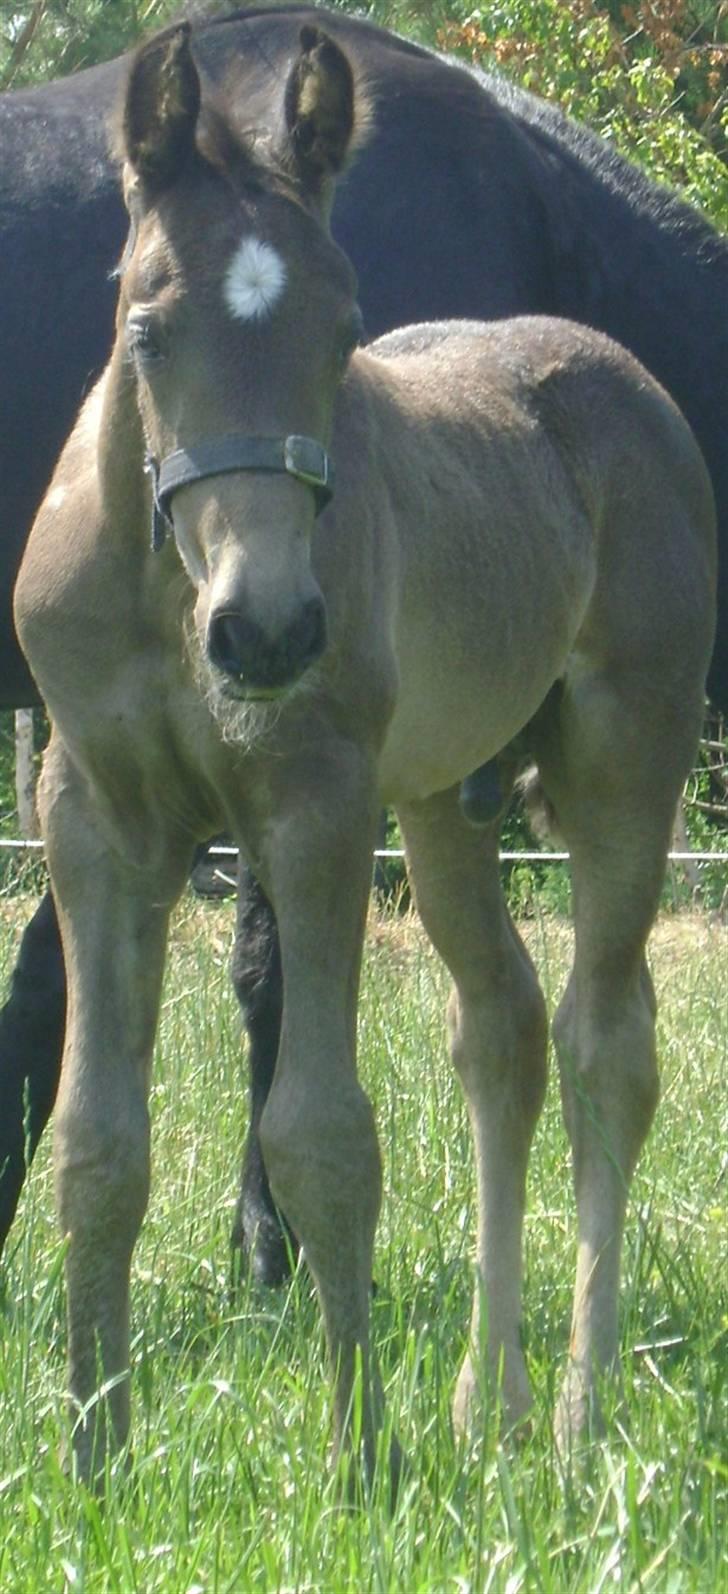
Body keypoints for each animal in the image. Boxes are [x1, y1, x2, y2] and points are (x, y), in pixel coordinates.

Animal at [15, 21, 713, 1479]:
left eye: (345, 332)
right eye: (146, 326)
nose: (271, 629)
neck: (168, 593)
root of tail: (619, 371)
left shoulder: (315, 804)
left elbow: (322, 1133)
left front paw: (358, 1466)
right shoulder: (93, 813)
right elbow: (97, 1141)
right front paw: (95, 1461)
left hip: (625, 757)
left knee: (605, 1042)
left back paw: (578, 1412)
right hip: (449, 801)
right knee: (500, 1030)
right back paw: (485, 1405)